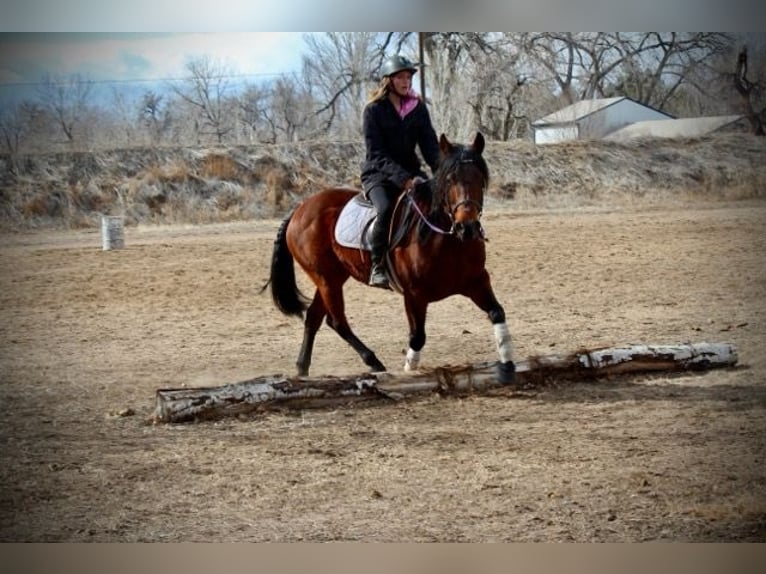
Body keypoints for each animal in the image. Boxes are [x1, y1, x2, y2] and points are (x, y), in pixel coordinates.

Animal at [262, 133, 516, 384]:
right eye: (449, 180)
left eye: (480, 179)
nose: (468, 228)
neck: (448, 240)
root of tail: (299, 209)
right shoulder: (414, 294)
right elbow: (417, 337)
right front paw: (410, 373)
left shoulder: (476, 282)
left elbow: (497, 313)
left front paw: (507, 366)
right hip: (326, 279)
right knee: (337, 321)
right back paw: (373, 362)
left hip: (333, 276)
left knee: (314, 317)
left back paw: (302, 368)